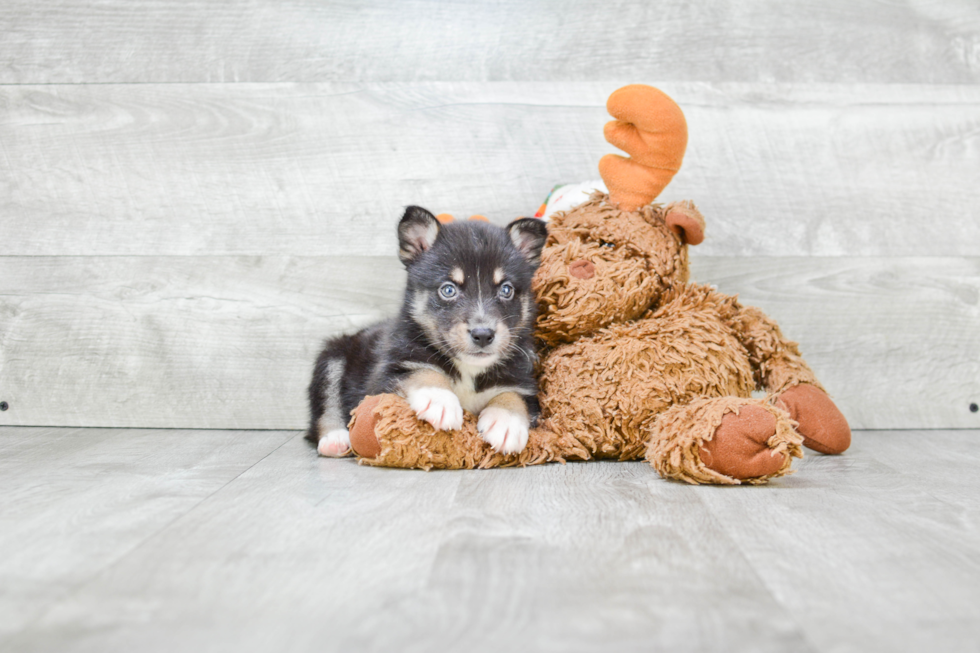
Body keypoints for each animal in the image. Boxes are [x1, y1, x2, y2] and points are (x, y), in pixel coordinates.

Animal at [306, 206, 548, 456]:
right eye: (448, 289)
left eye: (506, 290)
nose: (483, 335)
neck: (468, 370)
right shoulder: (385, 376)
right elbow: (423, 370)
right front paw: (440, 400)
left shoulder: (523, 384)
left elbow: (513, 395)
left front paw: (507, 423)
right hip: (332, 358)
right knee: (326, 405)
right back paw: (335, 439)